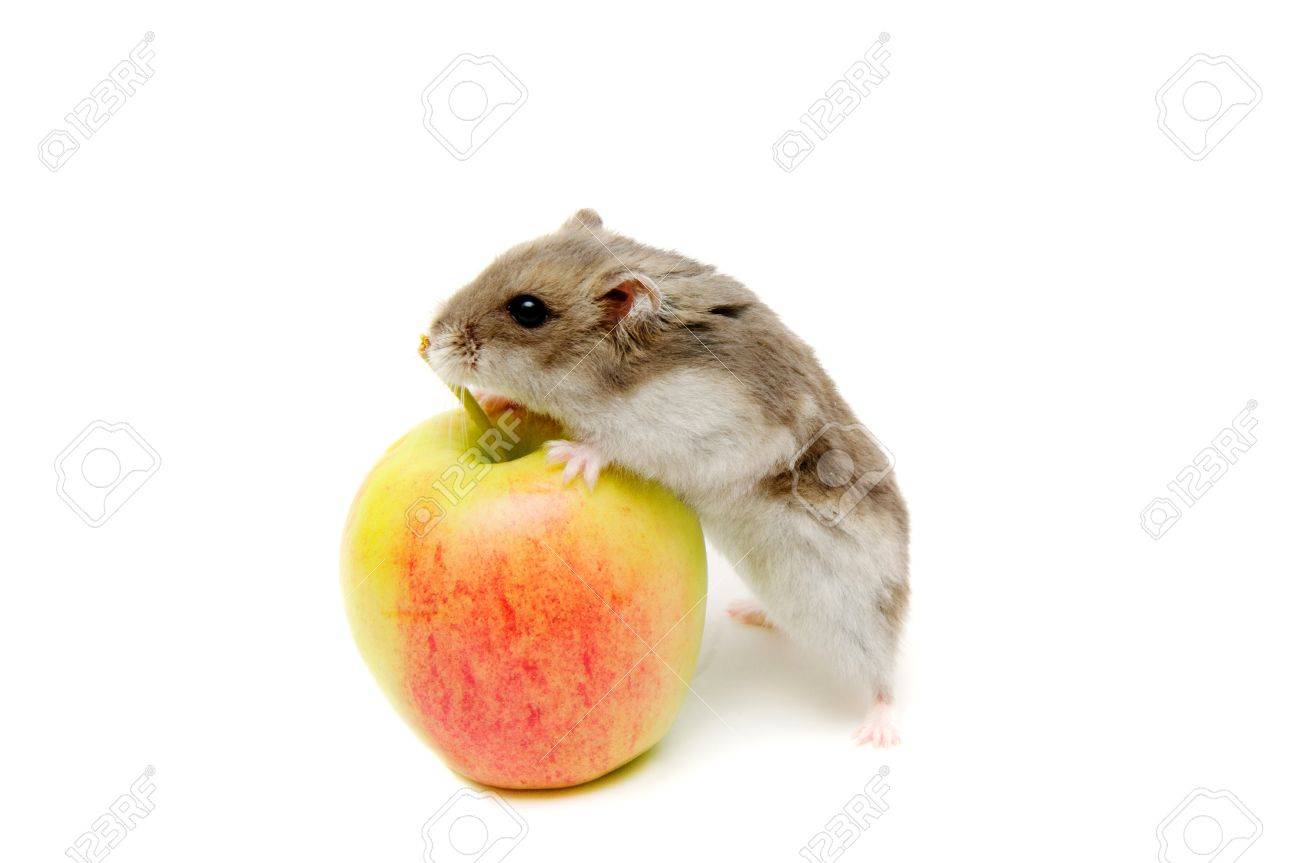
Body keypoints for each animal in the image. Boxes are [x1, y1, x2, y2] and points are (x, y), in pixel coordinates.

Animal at [423, 209, 909, 747]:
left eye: (527, 310)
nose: (428, 341)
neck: (608, 380)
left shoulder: (704, 429)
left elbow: (616, 444)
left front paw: (569, 457)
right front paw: (494, 403)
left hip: (857, 607)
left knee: (884, 674)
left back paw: (878, 730)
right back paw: (749, 612)